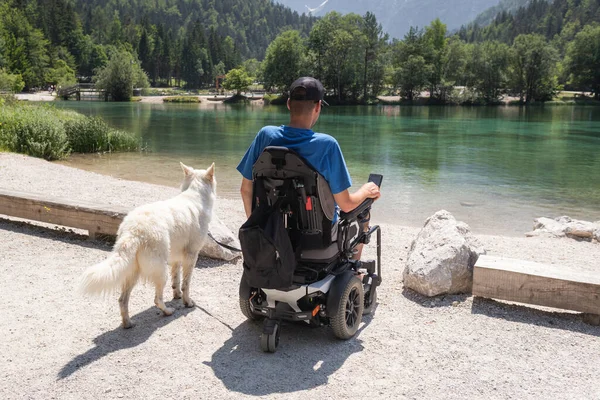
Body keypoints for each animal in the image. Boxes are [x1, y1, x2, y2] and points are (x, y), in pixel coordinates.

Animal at [79, 162, 216, 328]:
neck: (194, 194)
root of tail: (133, 231)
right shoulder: (191, 256)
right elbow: (186, 283)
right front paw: (187, 302)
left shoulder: (177, 257)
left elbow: (176, 280)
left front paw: (177, 295)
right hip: (160, 271)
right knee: (157, 300)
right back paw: (168, 311)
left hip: (132, 272)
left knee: (122, 300)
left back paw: (128, 323)